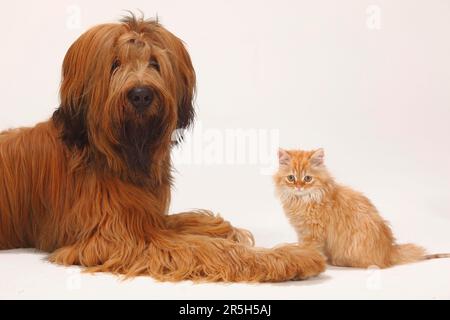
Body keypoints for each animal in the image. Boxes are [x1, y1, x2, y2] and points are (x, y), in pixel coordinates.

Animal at [0, 14, 326, 282]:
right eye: (114, 64)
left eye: (155, 63)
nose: (141, 95)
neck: (122, 154)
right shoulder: (115, 239)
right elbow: (206, 248)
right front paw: (290, 257)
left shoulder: (147, 216)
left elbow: (183, 222)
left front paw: (218, 225)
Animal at [272, 148, 448, 268]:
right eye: (291, 178)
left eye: (308, 178)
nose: (298, 187)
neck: (302, 200)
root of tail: (389, 252)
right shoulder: (302, 231)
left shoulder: (313, 233)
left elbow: (310, 249)